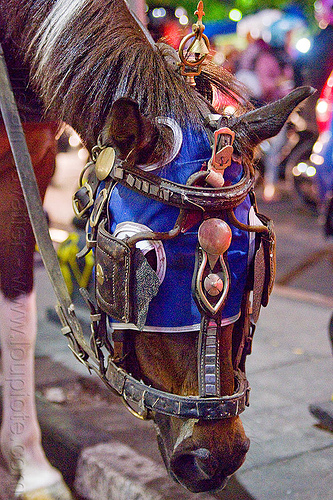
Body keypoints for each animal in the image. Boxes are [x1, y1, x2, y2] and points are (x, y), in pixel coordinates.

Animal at [0, 0, 312, 494]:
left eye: (255, 264)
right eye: (143, 261)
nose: (213, 457)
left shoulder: (32, 159)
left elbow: (17, 323)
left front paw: (33, 470)